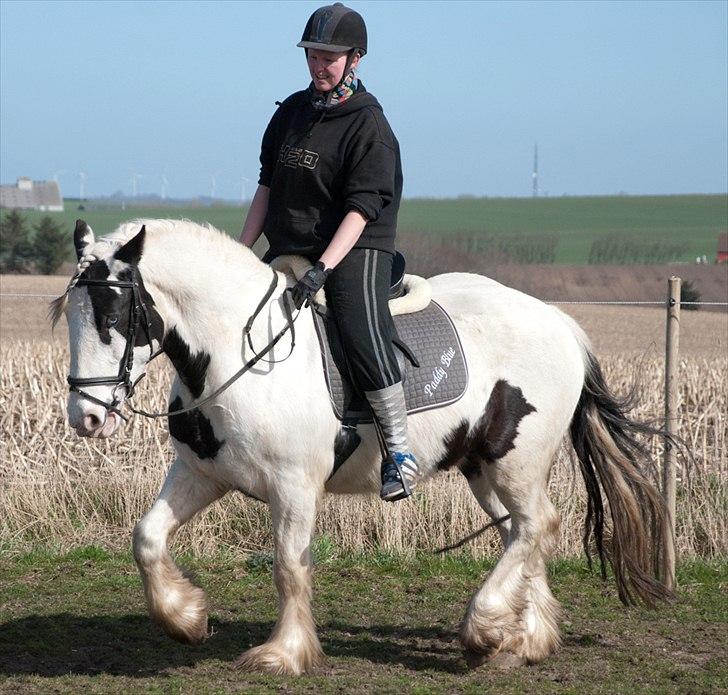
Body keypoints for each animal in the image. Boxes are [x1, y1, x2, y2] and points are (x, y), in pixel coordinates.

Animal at [51, 219, 672, 676]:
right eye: (69, 314)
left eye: (112, 316)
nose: (85, 418)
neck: (237, 350)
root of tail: (561, 323)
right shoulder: (202, 473)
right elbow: (147, 537)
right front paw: (186, 618)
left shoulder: (294, 486)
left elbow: (289, 565)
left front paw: (283, 654)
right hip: (483, 466)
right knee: (527, 529)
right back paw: (525, 638)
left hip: (516, 461)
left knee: (535, 524)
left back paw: (485, 628)